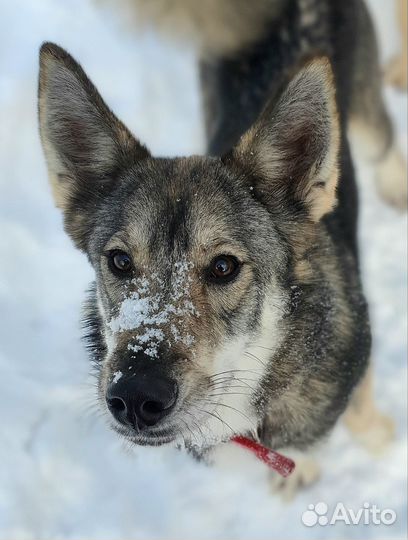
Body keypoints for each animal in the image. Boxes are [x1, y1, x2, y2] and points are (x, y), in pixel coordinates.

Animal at [36, 0, 400, 496]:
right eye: (120, 261)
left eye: (224, 267)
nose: (135, 397)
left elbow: (362, 420)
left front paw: (381, 443)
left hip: (365, 116)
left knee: (385, 141)